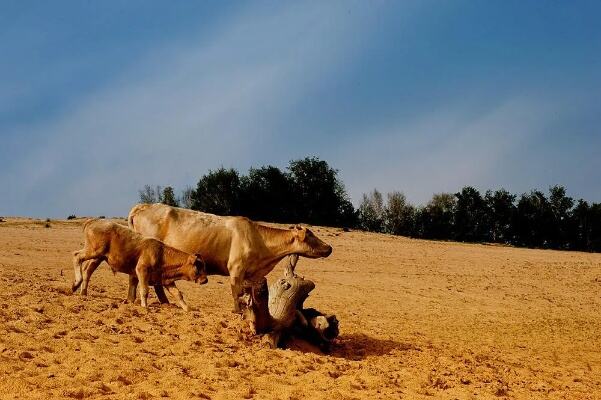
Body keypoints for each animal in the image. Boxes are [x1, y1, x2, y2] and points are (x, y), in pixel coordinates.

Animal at [72, 220, 209, 310]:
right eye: (199, 266)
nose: (205, 280)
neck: (161, 253)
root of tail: (93, 221)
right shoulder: (142, 270)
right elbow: (144, 290)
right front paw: (144, 306)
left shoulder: (166, 280)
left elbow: (178, 294)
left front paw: (188, 310)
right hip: (94, 251)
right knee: (77, 256)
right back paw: (76, 283)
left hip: (98, 257)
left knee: (88, 270)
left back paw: (82, 292)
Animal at [127, 203, 332, 312]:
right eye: (310, 236)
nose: (329, 248)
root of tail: (145, 205)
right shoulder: (236, 268)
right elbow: (236, 292)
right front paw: (237, 311)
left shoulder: (252, 274)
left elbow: (249, 294)